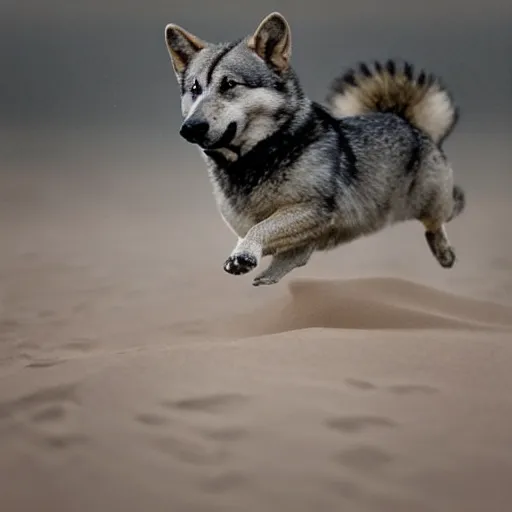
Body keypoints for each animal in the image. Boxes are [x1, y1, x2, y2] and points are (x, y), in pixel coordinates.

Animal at [163, 12, 464, 286]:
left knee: (446, 212)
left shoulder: (315, 209)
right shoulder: (268, 226)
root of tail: (404, 119)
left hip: (431, 202)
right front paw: (253, 258)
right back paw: (269, 277)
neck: (260, 155)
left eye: (229, 84)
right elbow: (278, 241)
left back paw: (445, 251)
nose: (189, 128)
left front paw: (244, 255)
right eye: (194, 88)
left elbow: (265, 226)